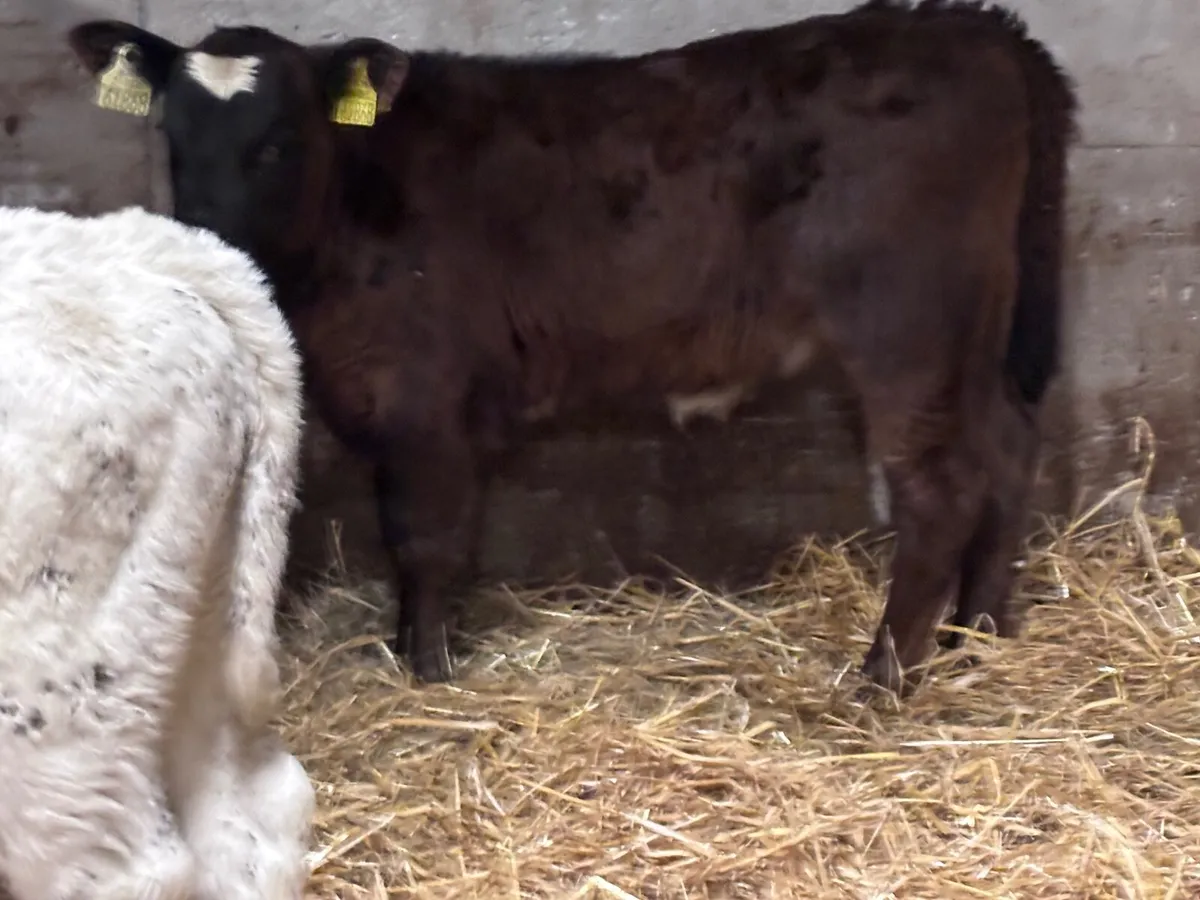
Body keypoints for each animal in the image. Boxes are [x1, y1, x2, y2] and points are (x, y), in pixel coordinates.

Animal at [62, 0, 1077, 694]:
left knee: (940, 488)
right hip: (975, 338)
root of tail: (975, 27)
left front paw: (428, 670)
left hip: (908, 326)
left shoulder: (426, 400)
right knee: (1008, 450)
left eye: (277, 142)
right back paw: (979, 637)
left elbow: (426, 538)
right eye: (172, 136)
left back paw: (884, 678)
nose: (208, 237)